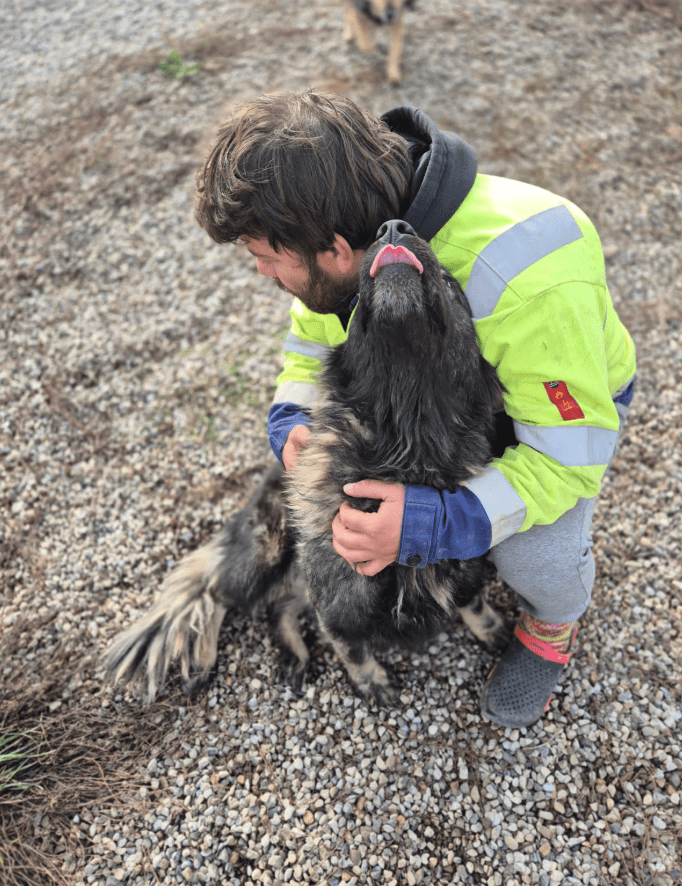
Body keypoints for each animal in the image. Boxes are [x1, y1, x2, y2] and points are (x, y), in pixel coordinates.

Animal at [106, 220, 510, 707]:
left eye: (451, 285)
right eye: (353, 309)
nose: (394, 227)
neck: (403, 445)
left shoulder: (463, 566)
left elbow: (473, 602)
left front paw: (492, 631)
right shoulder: (336, 605)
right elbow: (351, 648)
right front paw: (372, 682)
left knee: (276, 607)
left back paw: (295, 654)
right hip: (267, 548)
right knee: (218, 592)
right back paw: (203, 659)